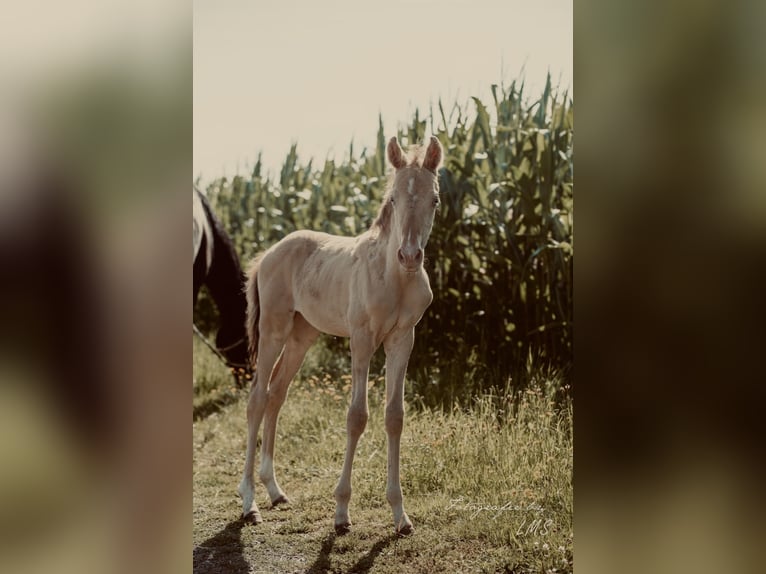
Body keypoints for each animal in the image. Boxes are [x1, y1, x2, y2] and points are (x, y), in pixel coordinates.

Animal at [238, 135, 444, 536]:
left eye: (435, 200)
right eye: (393, 199)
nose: (410, 256)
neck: (394, 278)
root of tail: (267, 254)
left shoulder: (403, 339)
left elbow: (394, 416)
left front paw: (400, 515)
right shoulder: (361, 339)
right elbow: (357, 416)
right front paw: (341, 512)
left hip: (302, 336)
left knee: (276, 394)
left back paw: (275, 490)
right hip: (274, 329)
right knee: (257, 398)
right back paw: (249, 502)